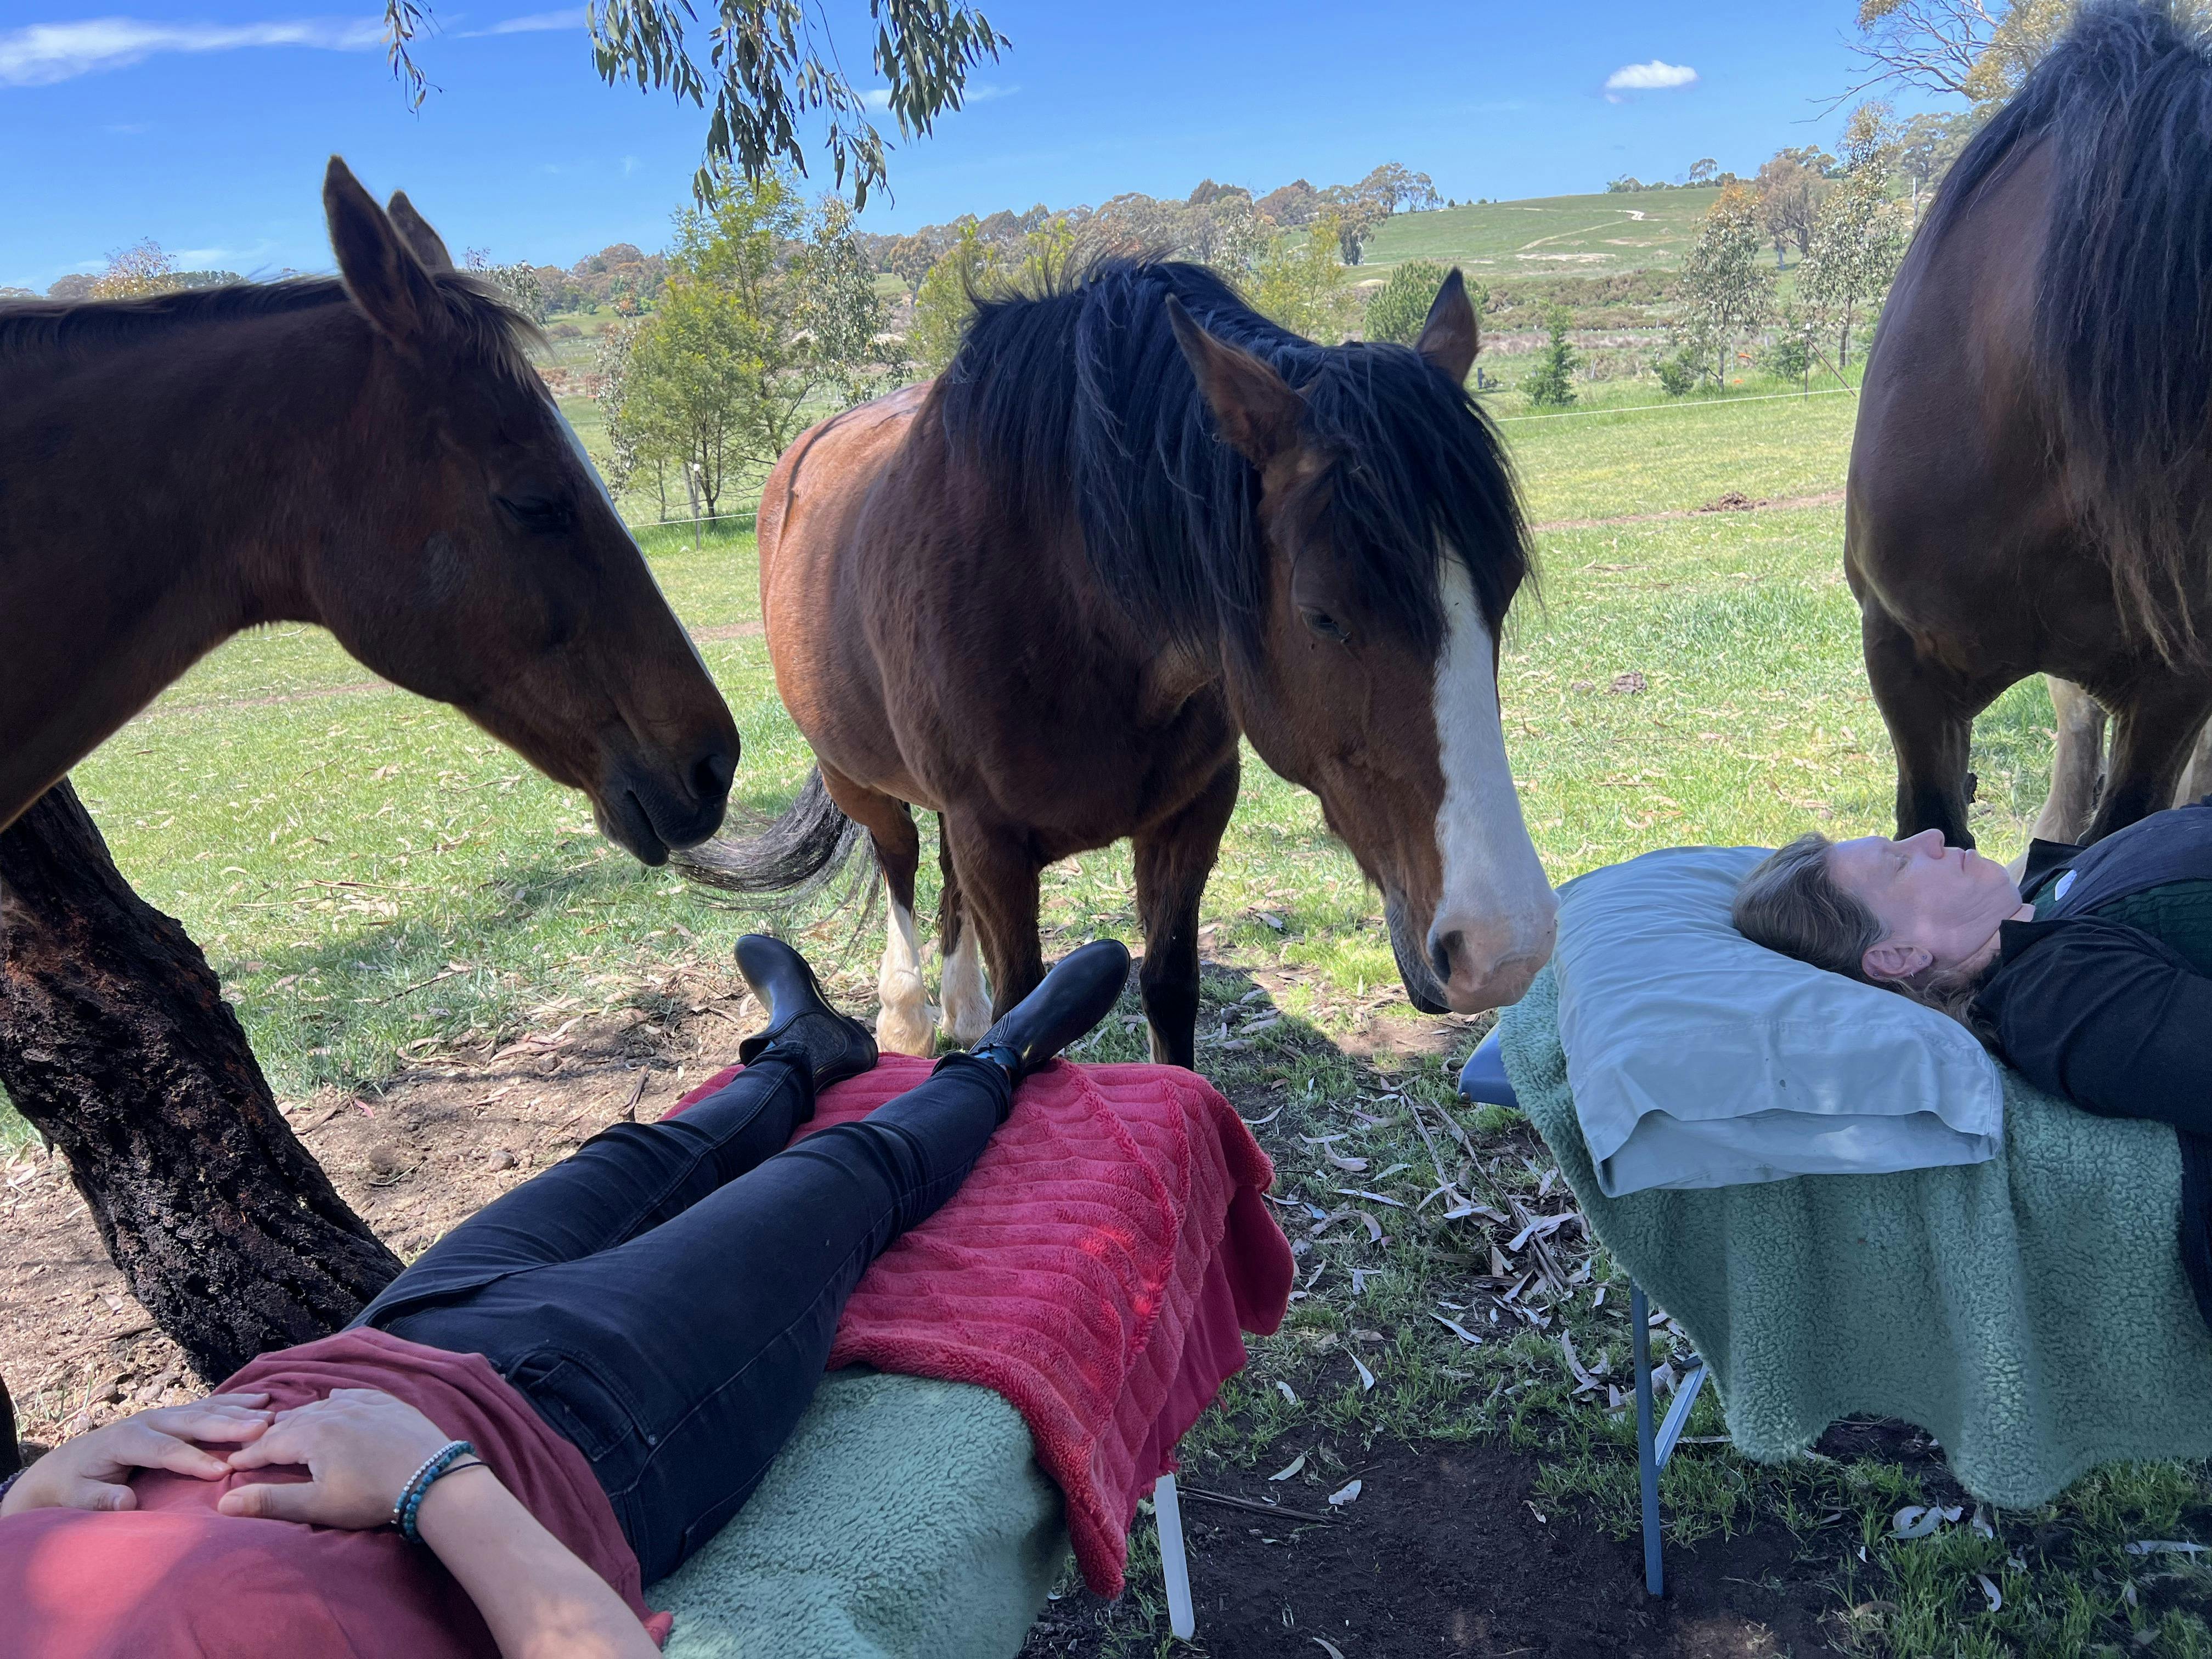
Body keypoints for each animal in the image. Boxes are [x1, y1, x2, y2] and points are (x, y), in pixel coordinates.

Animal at [676, 259, 1556, 1068]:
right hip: (855, 774)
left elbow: (1169, 987)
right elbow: (1027, 1007)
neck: (1065, 601)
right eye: (1323, 615)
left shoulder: (1192, 814)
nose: (1504, 948)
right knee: (901, 859)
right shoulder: (995, 845)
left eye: (1505, 588)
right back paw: (907, 1014)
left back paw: (960, 1007)